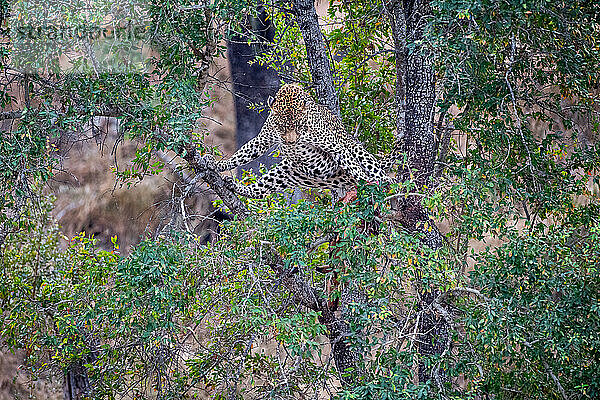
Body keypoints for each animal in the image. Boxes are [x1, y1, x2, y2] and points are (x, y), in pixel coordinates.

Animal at [211, 83, 394, 199]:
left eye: (299, 125)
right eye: (281, 126)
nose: (291, 143)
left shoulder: (335, 147)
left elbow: (353, 165)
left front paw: (366, 180)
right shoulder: (263, 139)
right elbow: (244, 153)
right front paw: (220, 165)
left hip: (357, 150)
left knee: (372, 167)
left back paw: (385, 182)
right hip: (286, 172)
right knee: (261, 191)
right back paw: (234, 185)